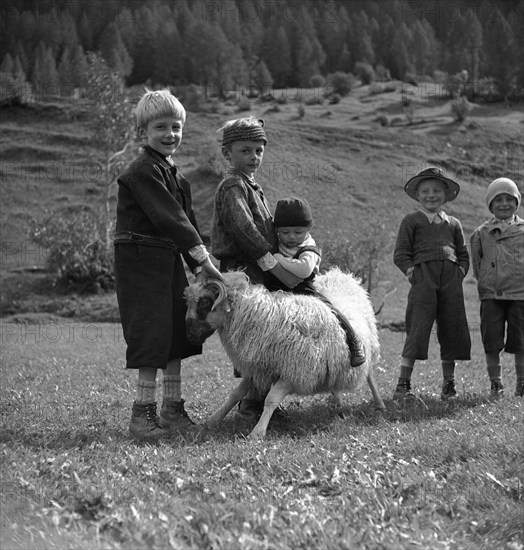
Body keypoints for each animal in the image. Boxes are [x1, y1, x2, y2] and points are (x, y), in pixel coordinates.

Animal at [184, 268, 384, 440]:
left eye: (204, 302)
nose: (189, 335)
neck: (265, 319)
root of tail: (344, 277)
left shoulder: (294, 372)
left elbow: (271, 400)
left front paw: (257, 432)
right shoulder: (258, 368)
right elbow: (235, 394)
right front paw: (213, 420)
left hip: (369, 346)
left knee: (369, 375)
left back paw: (379, 403)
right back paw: (336, 401)